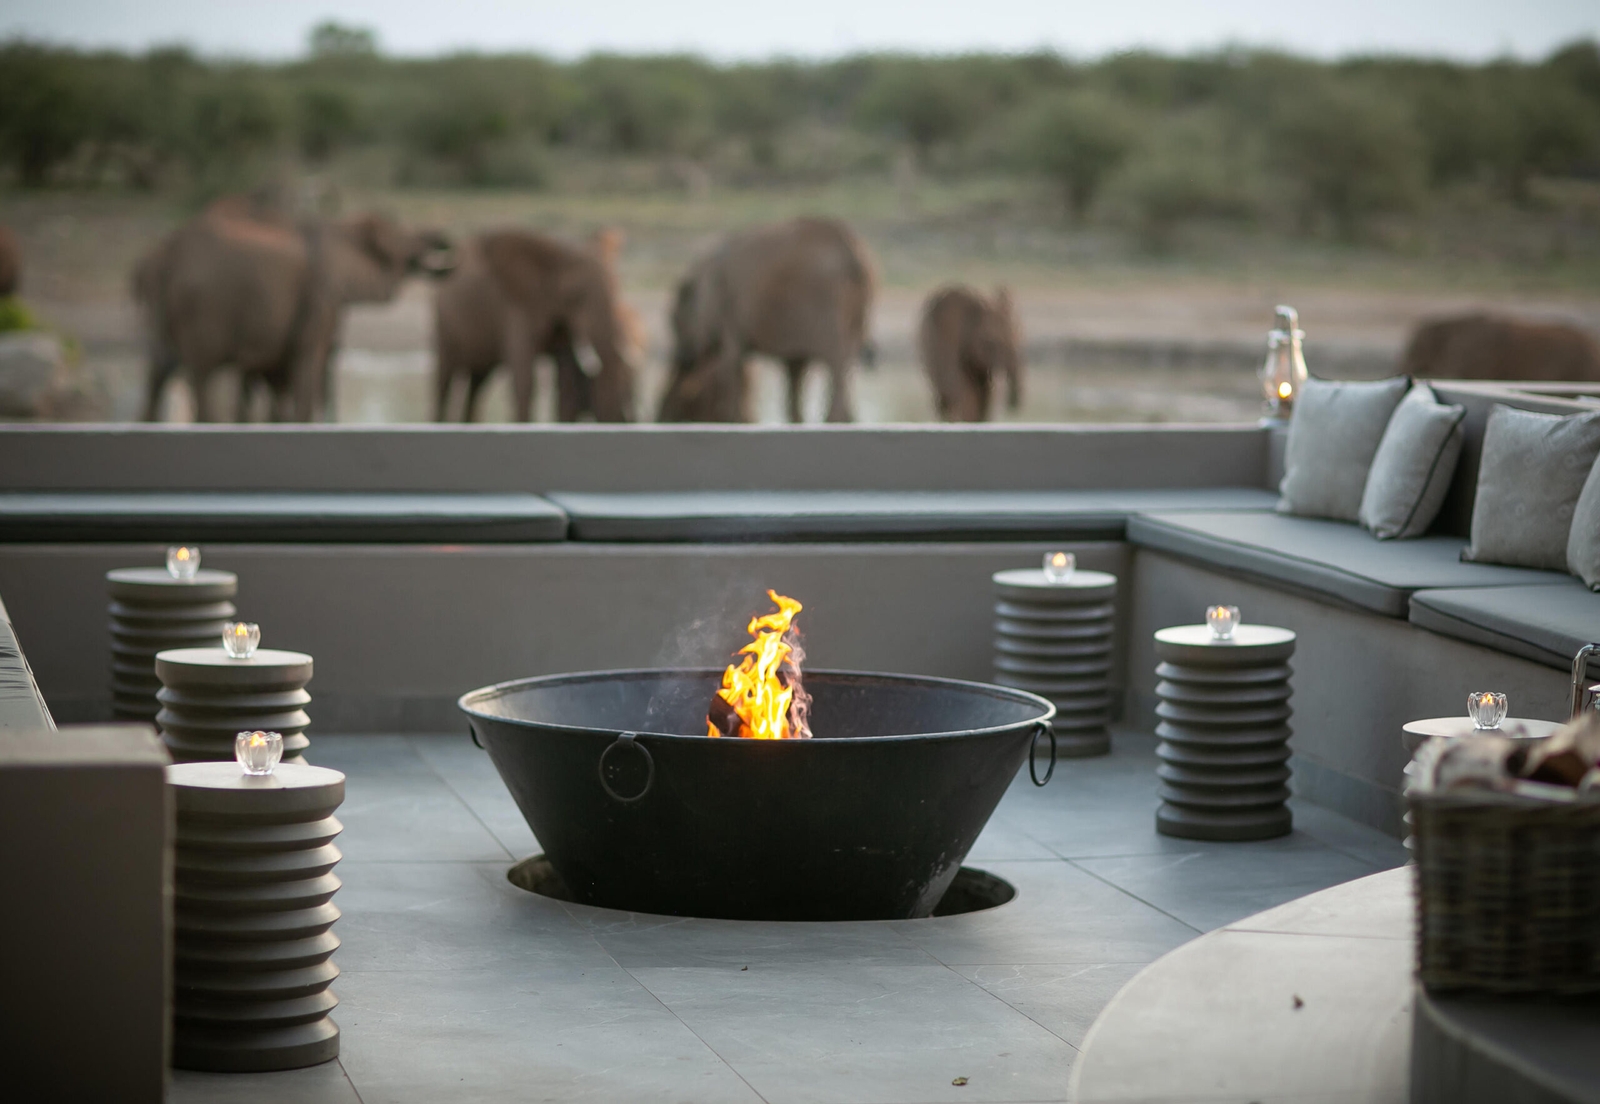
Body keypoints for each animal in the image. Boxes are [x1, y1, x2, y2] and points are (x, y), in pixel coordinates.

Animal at [134, 197, 450, 422]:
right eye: (399, 240)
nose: (446, 240)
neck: (338, 229)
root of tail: (165, 254)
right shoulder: (318, 298)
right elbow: (306, 371)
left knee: (157, 377)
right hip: (202, 309)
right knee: (201, 379)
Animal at [434, 229, 642, 422]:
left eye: (616, 287)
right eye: (576, 296)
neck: (561, 254)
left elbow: (565, 386)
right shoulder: (515, 308)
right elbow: (524, 380)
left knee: (477, 385)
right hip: (444, 323)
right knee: (444, 381)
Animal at [658, 217, 875, 423]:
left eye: (674, 322)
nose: (683, 359)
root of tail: (852, 248)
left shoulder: (729, 313)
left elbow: (732, 360)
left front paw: (734, 419)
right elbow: (793, 369)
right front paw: (794, 421)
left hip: (829, 304)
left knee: (837, 359)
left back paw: (835, 419)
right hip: (859, 306)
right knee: (848, 357)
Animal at [919, 285, 1023, 422]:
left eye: (1019, 338)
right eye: (990, 342)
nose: (1012, 405)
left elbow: (986, 395)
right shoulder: (948, 343)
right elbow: (963, 390)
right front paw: (969, 420)